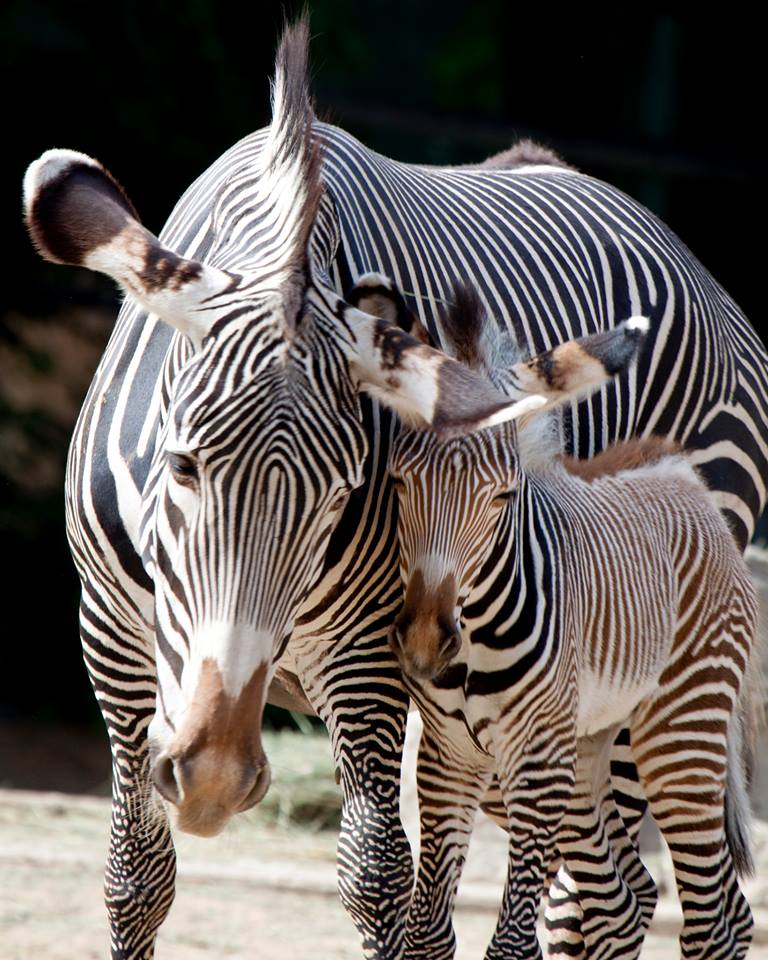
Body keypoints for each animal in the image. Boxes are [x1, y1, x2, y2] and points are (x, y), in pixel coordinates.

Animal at [380, 279, 758, 960]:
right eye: (398, 482)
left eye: (503, 495)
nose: (423, 640)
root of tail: (679, 471)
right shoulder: (449, 759)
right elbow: (426, 933)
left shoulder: (535, 766)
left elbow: (508, 942)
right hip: (588, 744)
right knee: (624, 901)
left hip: (680, 728)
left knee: (713, 919)